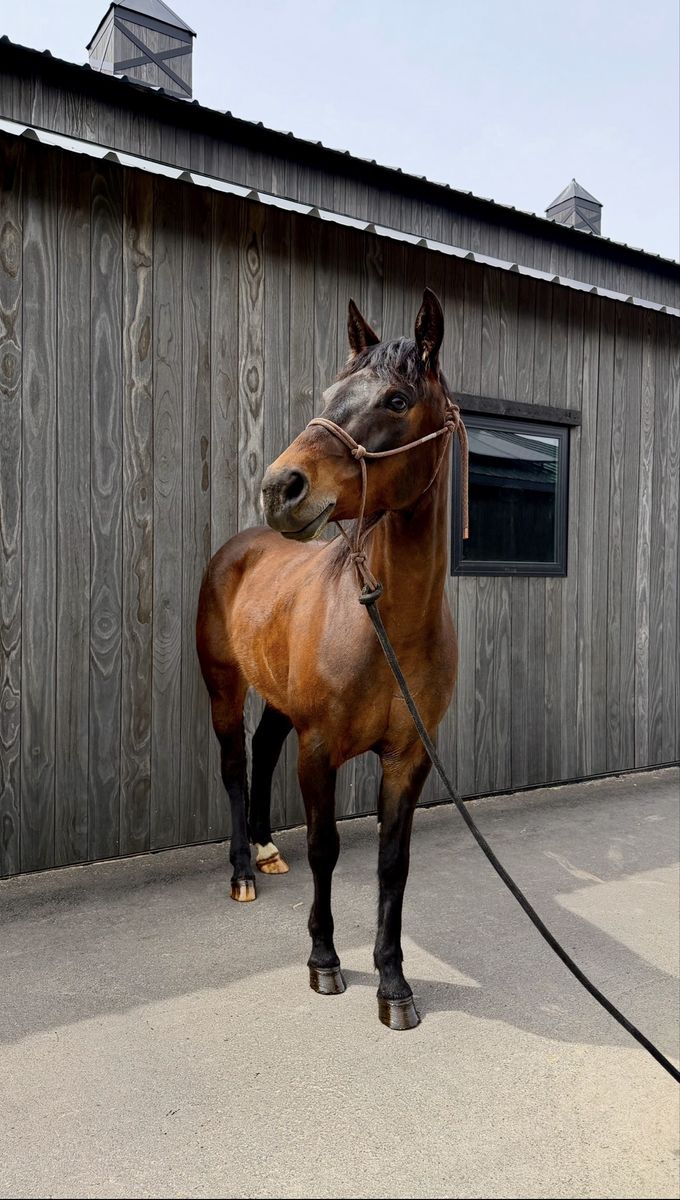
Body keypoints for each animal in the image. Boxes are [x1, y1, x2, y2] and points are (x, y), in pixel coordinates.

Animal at [196, 288, 463, 1029]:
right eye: (328, 393)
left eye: (397, 400)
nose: (280, 487)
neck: (385, 628)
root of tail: (239, 544)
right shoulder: (319, 748)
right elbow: (324, 848)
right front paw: (323, 961)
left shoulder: (410, 756)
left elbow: (393, 865)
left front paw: (393, 985)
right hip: (223, 688)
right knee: (235, 766)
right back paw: (241, 870)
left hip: (276, 699)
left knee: (261, 748)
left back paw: (263, 848)